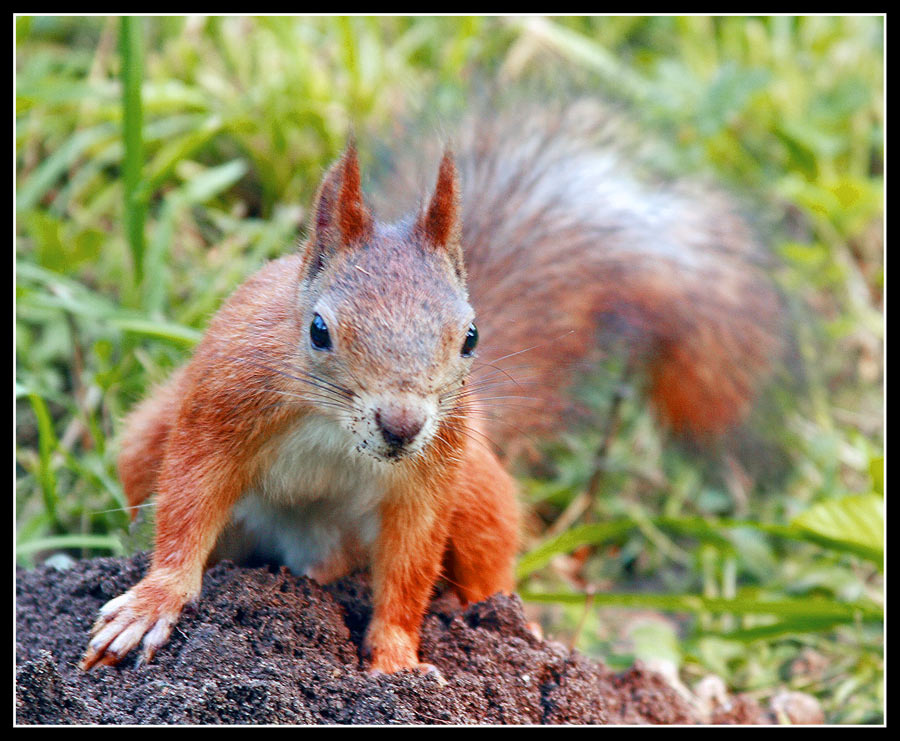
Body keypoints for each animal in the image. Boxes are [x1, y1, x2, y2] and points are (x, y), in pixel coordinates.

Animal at [80, 105, 783, 675]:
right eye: (318, 330)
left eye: (471, 336)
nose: (403, 424)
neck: (335, 431)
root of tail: (309, 559)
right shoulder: (224, 403)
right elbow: (188, 503)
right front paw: (154, 602)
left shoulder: (432, 473)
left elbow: (411, 565)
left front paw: (397, 659)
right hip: (147, 440)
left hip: (478, 489)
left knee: (486, 566)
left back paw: (514, 629)